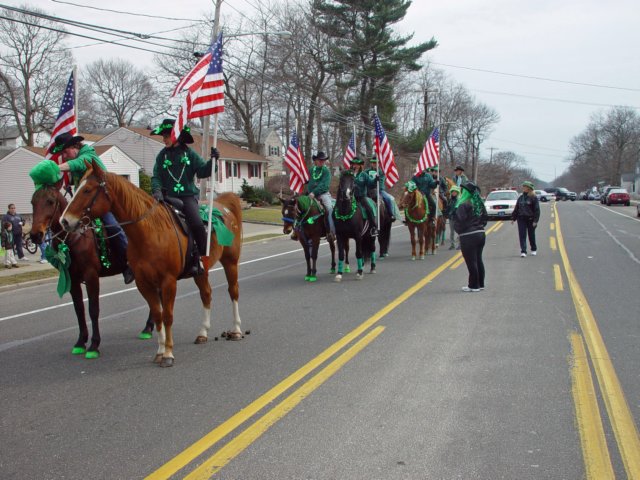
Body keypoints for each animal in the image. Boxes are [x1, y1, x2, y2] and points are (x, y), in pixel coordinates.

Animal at [30, 184, 155, 360]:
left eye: (50, 201)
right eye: (33, 202)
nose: (35, 235)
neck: (76, 237)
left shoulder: (91, 276)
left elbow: (93, 310)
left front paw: (94, 345)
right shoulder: (73, 279)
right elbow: (79, 310)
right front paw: (80, 342)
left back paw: (148, 327)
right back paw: (149, 327)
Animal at [58, 161, 244, 368]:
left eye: (87, 190)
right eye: (77, 187)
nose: (64, 221)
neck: (150, 231)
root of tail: (224, 206)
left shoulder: (168, 282)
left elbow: (167, 316)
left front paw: (169, 353)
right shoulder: (144, 283)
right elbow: (157, 315)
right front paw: (160, 352)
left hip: (230, 262)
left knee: (233, 291)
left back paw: (236, 330)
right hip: (200, 272)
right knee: (206, 294)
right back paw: (202, 333)